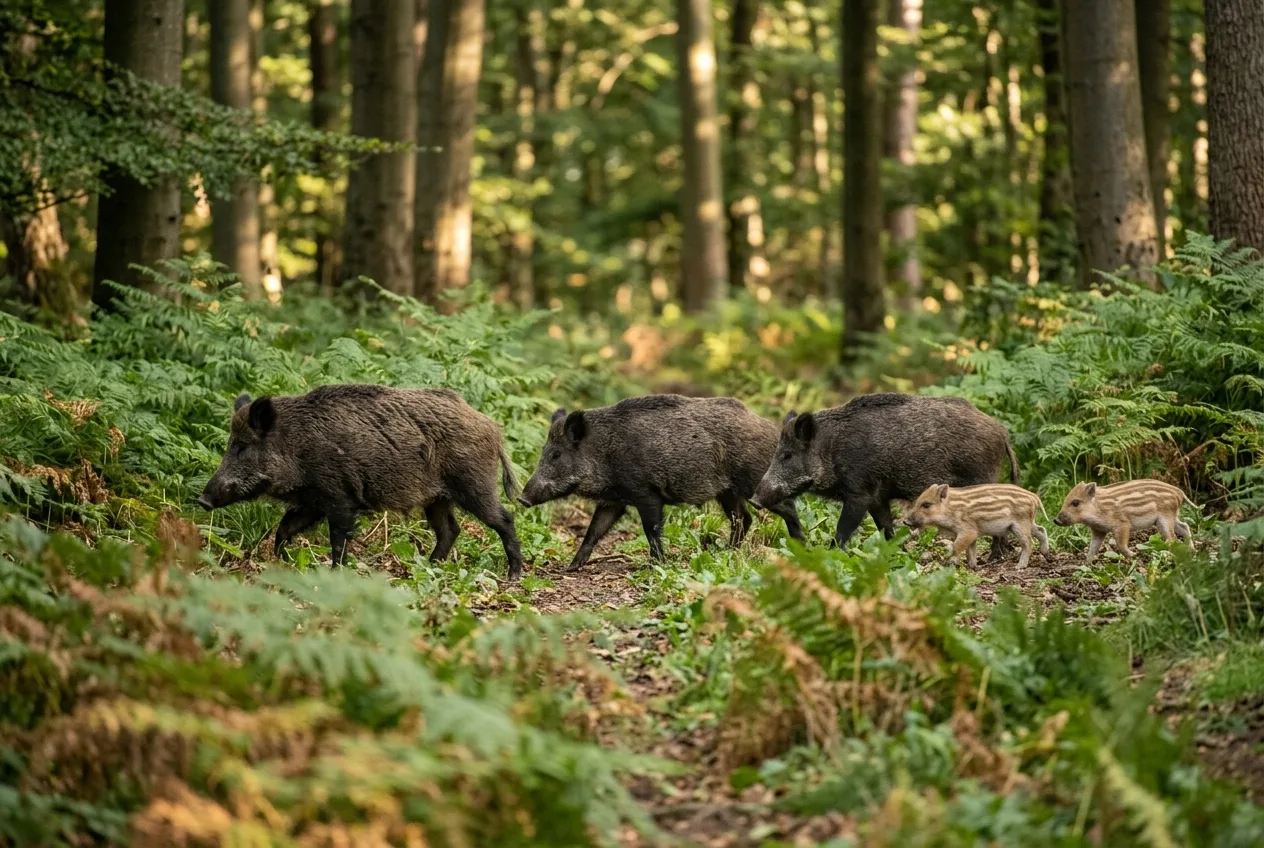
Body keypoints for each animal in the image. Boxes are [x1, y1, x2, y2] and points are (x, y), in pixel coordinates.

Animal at [197, 384, 525, 579]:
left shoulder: (340, 498)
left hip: (474, 484)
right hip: (437, 498)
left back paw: (513, 575)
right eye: (230, 444)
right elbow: (285, 527)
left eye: (242, 447)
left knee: (504, 519)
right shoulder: (312, 501)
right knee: (450, 530)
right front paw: (278, 559)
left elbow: (338, 540)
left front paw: (335, 573)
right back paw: (427, 567)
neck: (295, 447)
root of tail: (493, 428)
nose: (201, 499)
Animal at [517, 395, 806, 571]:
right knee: (743, 519)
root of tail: (772, 429)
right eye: (545, 451)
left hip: (754, 482)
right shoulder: (613, 500)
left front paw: (656, 564)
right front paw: (573, 566)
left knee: (787, 510)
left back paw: (802, 547)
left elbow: (651, 530)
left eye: (556, 454)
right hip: (726, 492)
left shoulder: (647, 494)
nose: (522, 498)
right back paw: (727, 552)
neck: (604, 452)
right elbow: (593, 531)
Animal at [752, 393, 1020, 552]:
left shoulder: (859, 493)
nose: (754, 500)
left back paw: (995, 556)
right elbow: (885, 527)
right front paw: (898, 553)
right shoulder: (877, 497)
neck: (831, 449)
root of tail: (1002, 433)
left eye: (787, 455)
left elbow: (843, 529)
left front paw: (831, 554)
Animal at [903, 483, 1050, 569]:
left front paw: (950, 563)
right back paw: (1046, 553)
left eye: (926, 505)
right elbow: (970, 551)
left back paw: (1020, 566)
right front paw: (973, 566)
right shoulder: (972, 533)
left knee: (1028, 543)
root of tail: (1035, 497)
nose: (905, 521)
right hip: (1028, 523)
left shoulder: (968, 531)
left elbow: (956, 546)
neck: (951, 509)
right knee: (1041, 530)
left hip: (1021, 524)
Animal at [1054, 479, 1194, 562]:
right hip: (1172, 517)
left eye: (1075, 502)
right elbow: (1092, 548)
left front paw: (1134, 556)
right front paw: (1086, 564)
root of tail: (1179, 492)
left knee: (1172, 538)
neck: (1099, 508)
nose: (1056, 520)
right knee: (1184, 526)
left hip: (1165, 518)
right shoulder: (1099, 530)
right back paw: (1191, 550)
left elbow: (1120, 545)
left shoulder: (1123, 524)